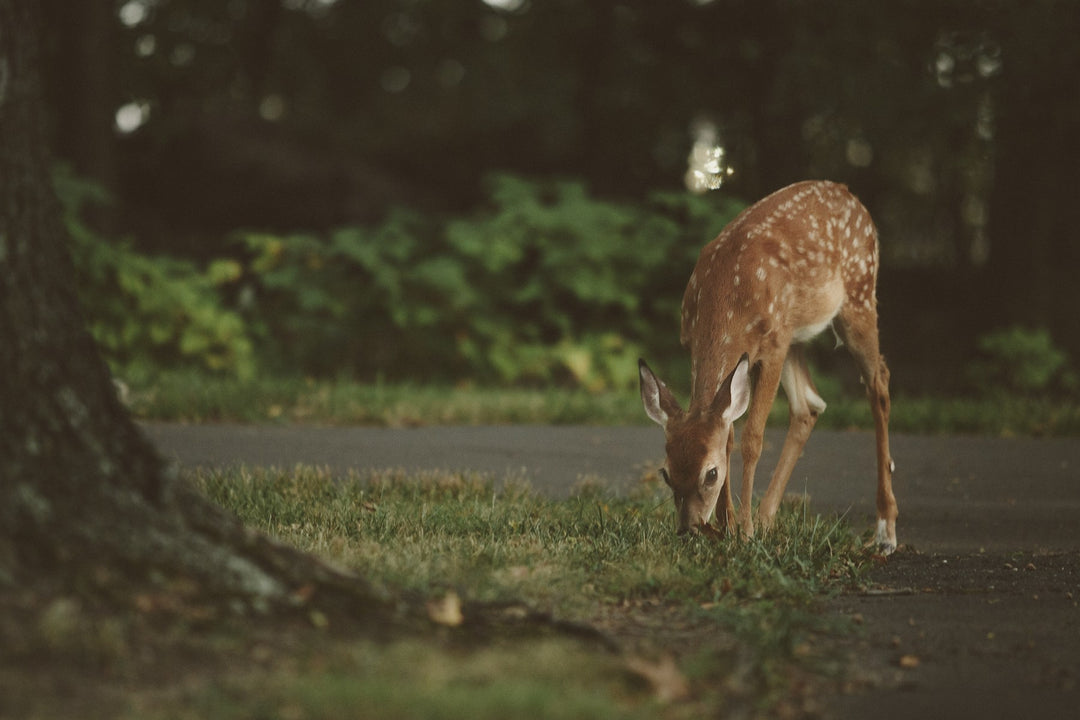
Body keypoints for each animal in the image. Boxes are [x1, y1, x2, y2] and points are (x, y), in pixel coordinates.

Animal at [638, 180, 898, 554]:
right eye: (666, 473)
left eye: (711, 474)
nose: (688, 529)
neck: (726, 298)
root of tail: (850, 194)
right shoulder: (699, 344)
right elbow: (728, 433)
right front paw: (728, 526)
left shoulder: (772, 346)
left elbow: (752, 438)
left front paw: (742, 532)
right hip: (796, 335)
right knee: (809, 405)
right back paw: (766, 519)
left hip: (858, 296)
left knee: (879, 383)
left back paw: (885, 531)